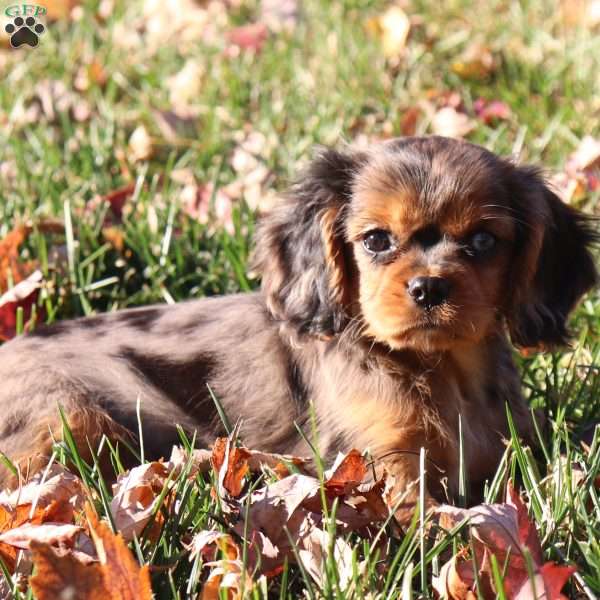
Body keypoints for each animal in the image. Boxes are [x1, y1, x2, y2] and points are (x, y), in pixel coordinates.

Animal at [0, 135, 596, 516]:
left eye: (483, 241)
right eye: (376, 240)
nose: (429, 288)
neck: (442, 370)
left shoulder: (517, 443)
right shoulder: (380, 460)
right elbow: (428, 517)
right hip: (70, 419)